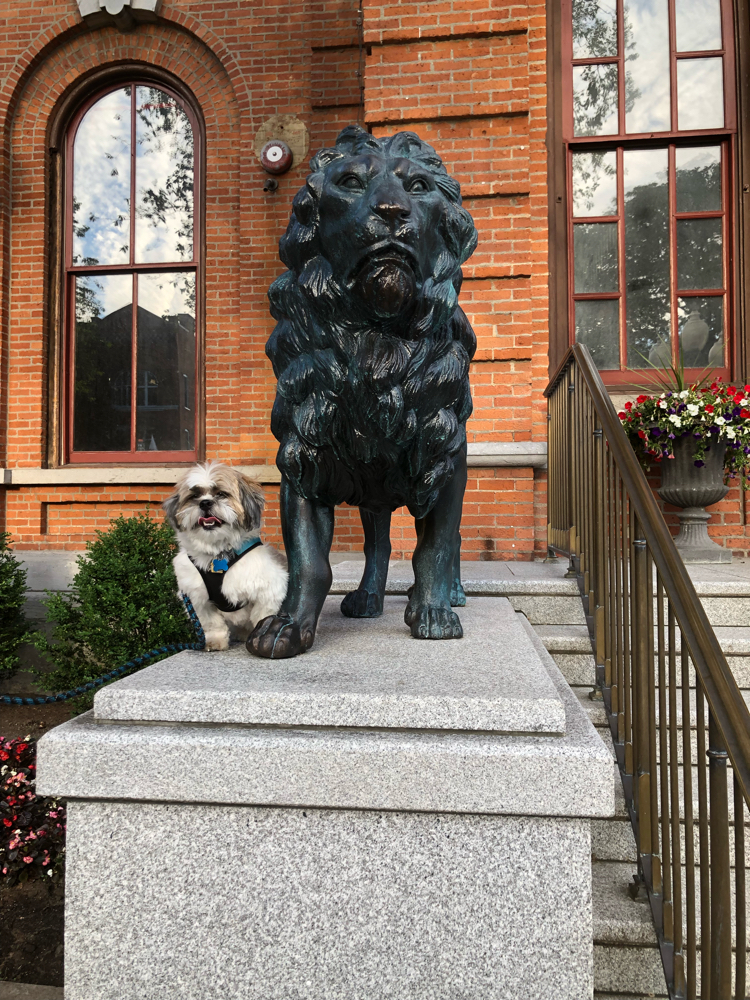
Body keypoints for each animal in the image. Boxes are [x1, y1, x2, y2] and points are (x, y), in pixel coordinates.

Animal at [163, 460, 290, 648]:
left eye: (221, 494)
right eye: (194, 496)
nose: (205, 503)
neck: (218, 554)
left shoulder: (270, 589)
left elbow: (263, 616)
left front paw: (262, 634)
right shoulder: (196, 598)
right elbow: (211, 623)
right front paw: (215, 640)